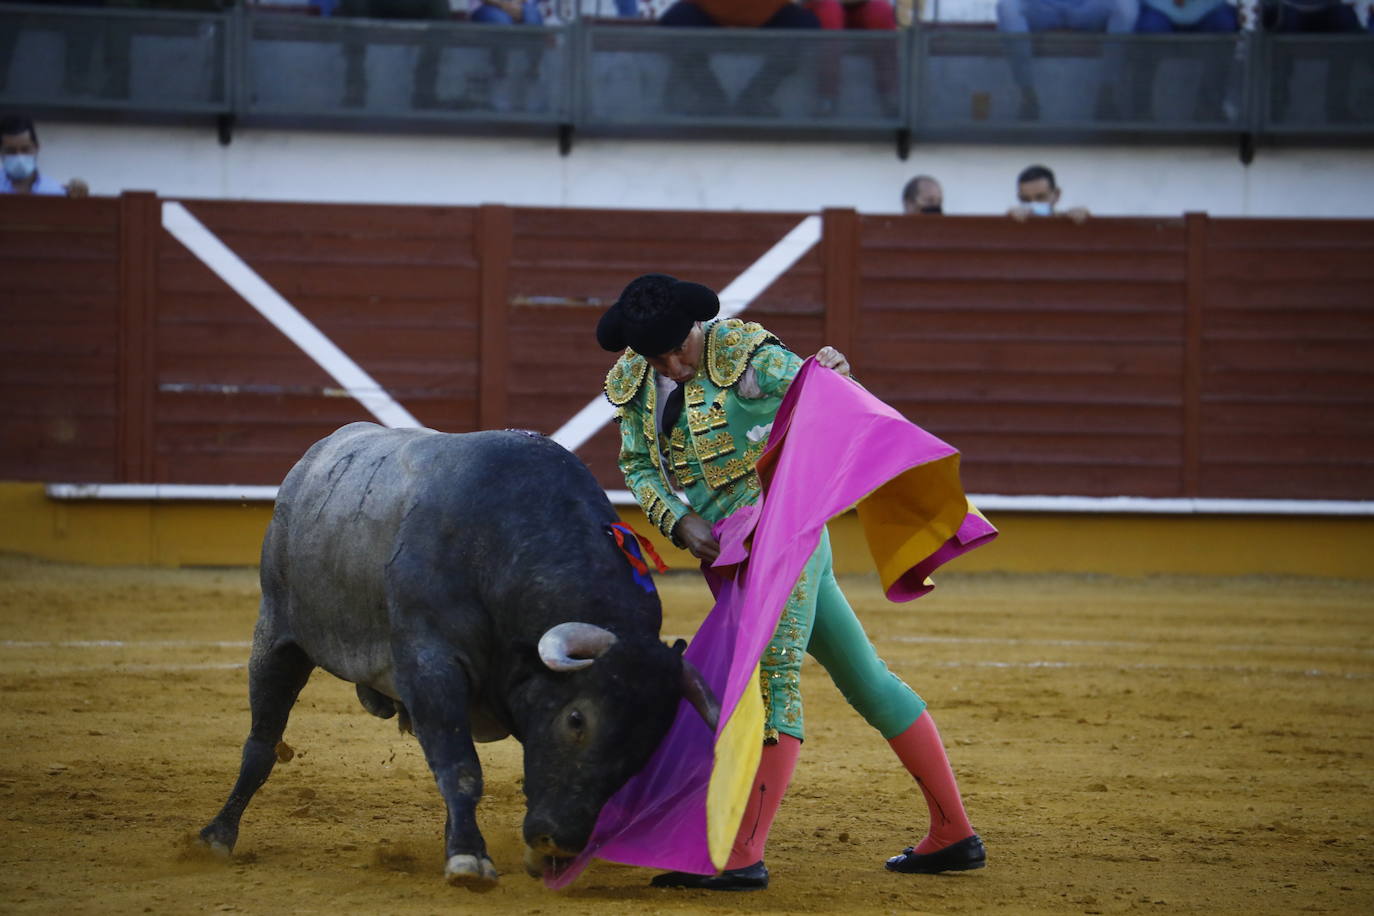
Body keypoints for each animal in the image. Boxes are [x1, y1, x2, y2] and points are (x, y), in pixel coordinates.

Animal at [203, 425, 725, 889]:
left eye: (648, 745)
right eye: (576, 719)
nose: (559, 841)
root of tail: (314, 457)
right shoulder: (432, 667)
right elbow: (460, 766)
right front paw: (469, 859)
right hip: (278, 634)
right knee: (261, 742)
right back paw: (217, 836)